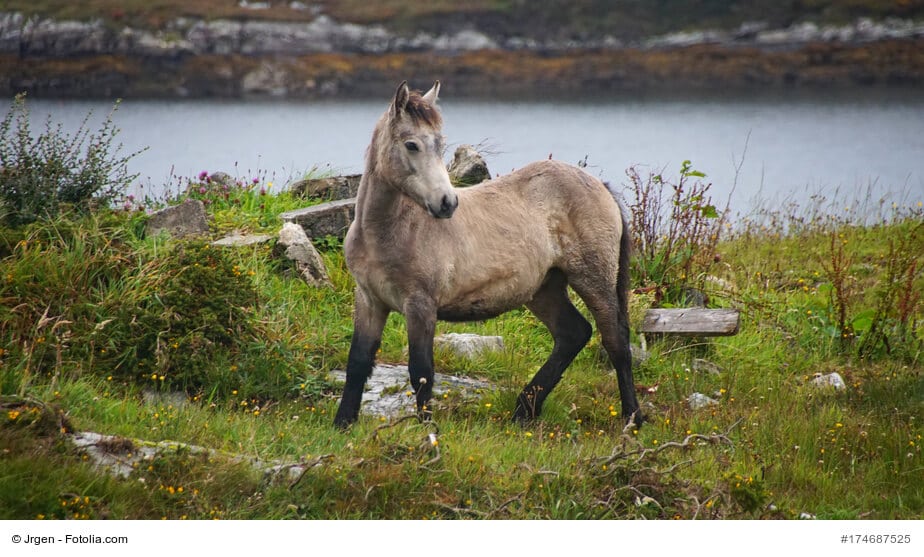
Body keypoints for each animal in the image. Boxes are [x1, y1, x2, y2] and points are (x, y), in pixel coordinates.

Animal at [333, 81, 642, 428]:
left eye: (440, 144)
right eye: (411, 144)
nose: (447, 203)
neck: (386, 232)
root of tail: (601, 187)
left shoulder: (420, 305)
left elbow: (421, 372)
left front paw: (426, 431)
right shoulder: (369, 300)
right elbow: (358, 362)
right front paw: (342, 423)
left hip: (593, 279)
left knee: (616, 341)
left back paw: (632, 418)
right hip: (544, 288)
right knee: (573, 334)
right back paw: (524, 410)